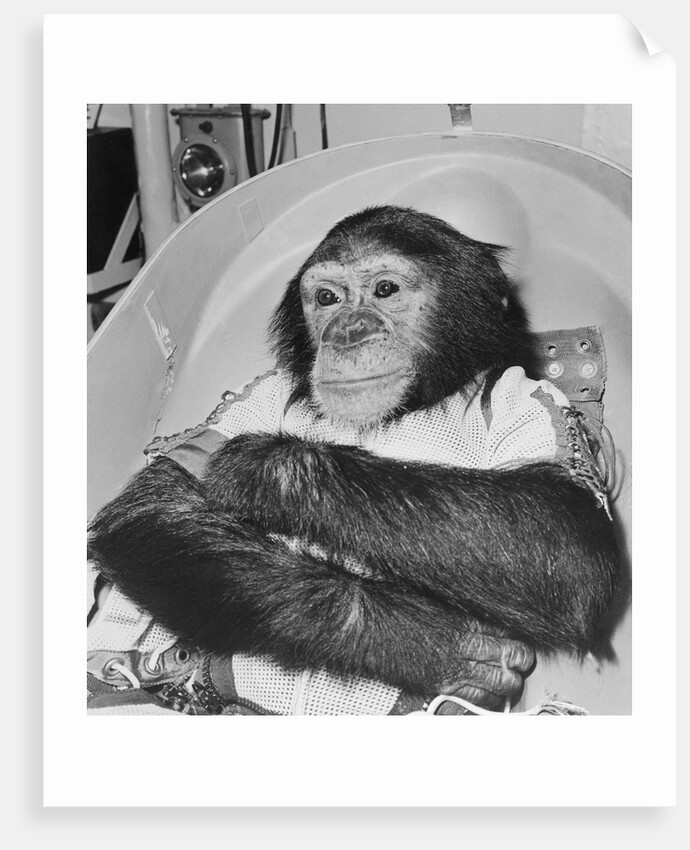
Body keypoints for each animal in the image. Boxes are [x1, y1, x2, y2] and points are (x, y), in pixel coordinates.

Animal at [87, 205, 620, 715]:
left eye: (385, 290)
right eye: (326, 298)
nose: (347, 330)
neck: (409, 405)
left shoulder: (534, 402)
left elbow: (563, 532)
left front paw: (262, 467)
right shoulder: (255, 393)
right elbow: (158, 503)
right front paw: (425, 643)